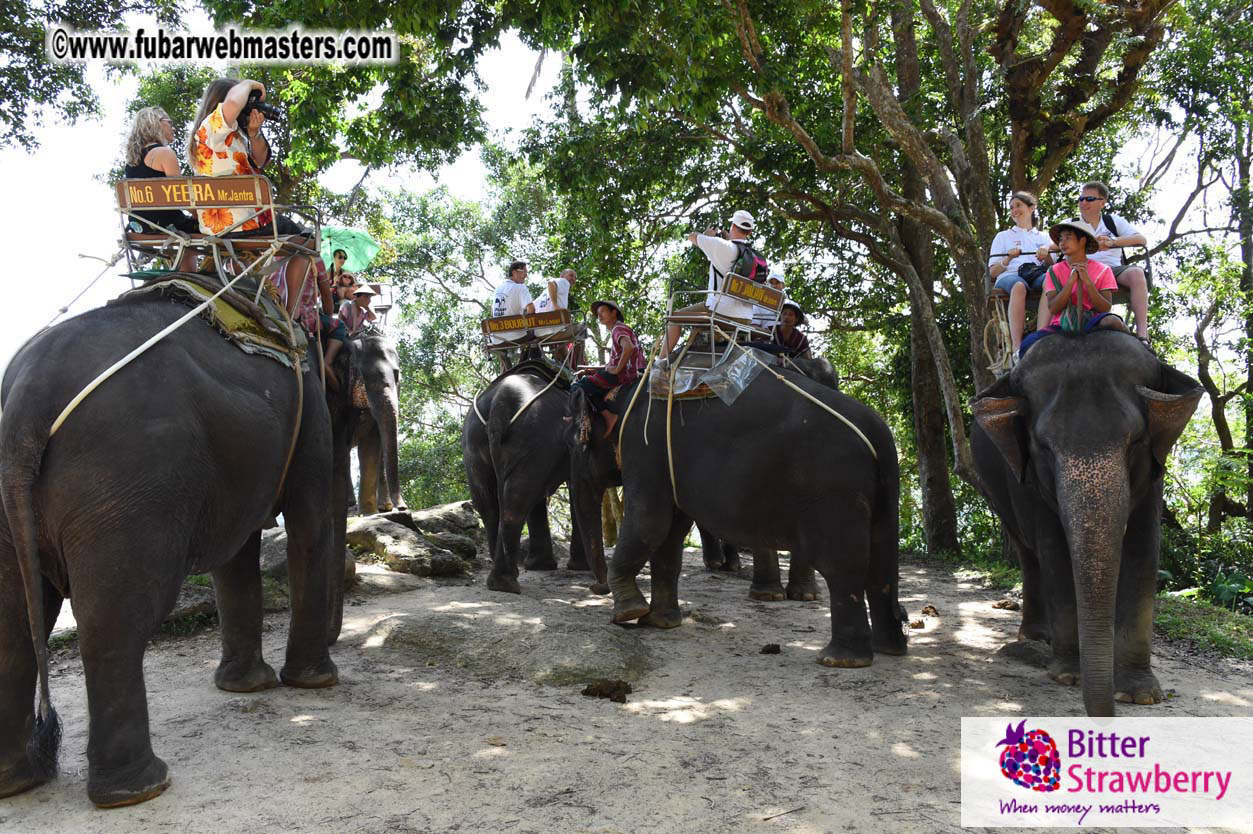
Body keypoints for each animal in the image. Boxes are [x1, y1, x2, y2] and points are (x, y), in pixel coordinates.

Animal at [0, 288, 344, 807]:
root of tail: (25, 400)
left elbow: (236, 555)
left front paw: (245, 688)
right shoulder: (309, 415)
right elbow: (309, 523)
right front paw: (316, 681)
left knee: (14, 622)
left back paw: (17, 782)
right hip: (128, 480)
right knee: (116, 616)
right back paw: (139, 789)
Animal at [345, 326, 406, 515]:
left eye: (397, 375)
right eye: (363, 375)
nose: (403, 507)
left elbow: (372, 443)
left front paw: (370, 512)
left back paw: (382, 508)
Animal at [462, 360, 603, 595]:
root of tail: (499, 404)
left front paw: (540, 566)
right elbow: (574, 488)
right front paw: (575, 567)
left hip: (474, 442)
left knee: (489, 505)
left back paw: (502, 580)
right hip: (534, 436)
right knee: (515, 503)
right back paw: (507, 583)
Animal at [568, 361, 907, 668]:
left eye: (575, 439)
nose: (596, 587)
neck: (626, 390)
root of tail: (878, 434)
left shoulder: (645, 447)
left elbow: (650, 522)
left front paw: (627, 613)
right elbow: (671, 533)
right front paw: (658, 622)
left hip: (833, 489)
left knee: (841, 565)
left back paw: (839, 660)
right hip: (878, 495)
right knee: (881, 563)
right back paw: (889, 648)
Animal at [971, 329, 1202, 716]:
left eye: (1135, 442)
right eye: (1044, 447)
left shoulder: (1154, 473)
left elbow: (1143, 550)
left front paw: (1139, 695)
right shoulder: (1032, 483)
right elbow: (1055, 552)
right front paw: (1068, 676)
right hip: (994, 488)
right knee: (1028, 553)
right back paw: (1036, 638)